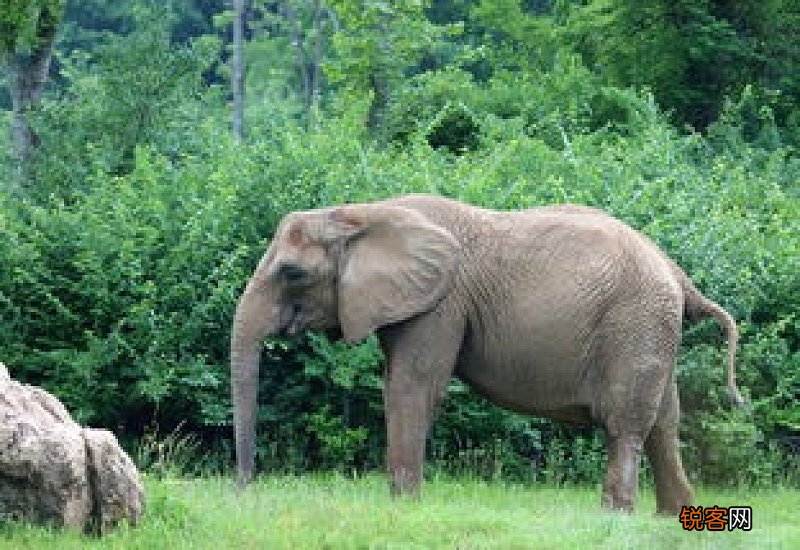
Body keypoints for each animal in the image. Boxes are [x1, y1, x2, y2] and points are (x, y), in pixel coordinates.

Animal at [230, 194, 744, 515]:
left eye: (292, 273)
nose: (245, 493)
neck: (363, 214)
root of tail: (680, 277)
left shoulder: (441, 302)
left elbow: (412, 387)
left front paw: (404, 506)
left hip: (634, 322)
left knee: (626, 423)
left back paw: (615, 517)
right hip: (651, 330)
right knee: (664, 422)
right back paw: (672, 518)